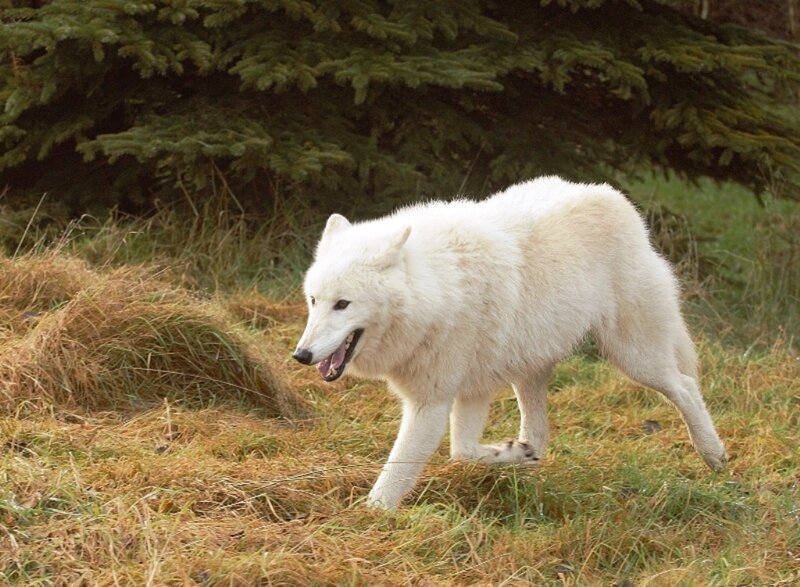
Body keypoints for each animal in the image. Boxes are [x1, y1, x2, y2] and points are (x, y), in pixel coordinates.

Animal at [293, 176, 727, 509]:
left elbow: (401, 472)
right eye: (314, 301)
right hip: (529, 369)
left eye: (343, 304)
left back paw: (714, 454)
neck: (436, 290)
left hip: (635, 358)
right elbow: (463, 451)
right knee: (541, 434)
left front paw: (371, 516)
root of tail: (615, 198)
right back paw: (527, 456)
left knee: (686, 386)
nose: (301, 355)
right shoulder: (470, 391)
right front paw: (511, 452)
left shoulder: (432, 402)